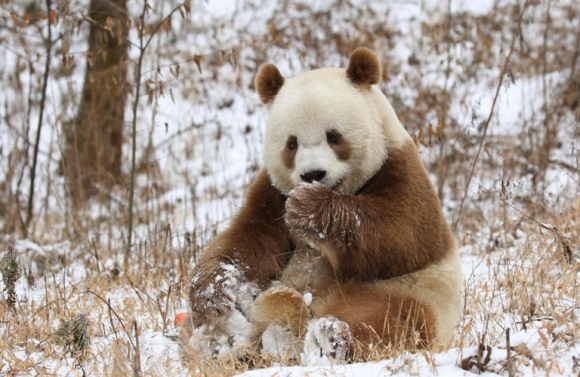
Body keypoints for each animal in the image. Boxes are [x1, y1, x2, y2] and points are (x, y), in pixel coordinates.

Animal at [188, 47, 464, 362]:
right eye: (291, 144)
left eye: (333, 136)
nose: (313, 174)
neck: (342, 190)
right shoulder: (271, 193)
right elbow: (249, 241)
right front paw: (215, 292)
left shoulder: (400, 167)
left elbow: (404, 235)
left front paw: (309, 208)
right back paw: (228, 340)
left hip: (409, 291)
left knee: (394, 318)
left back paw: (328, 337)